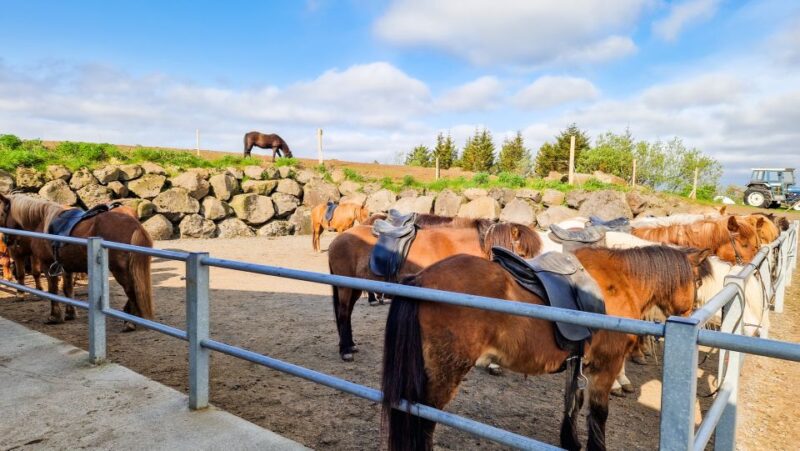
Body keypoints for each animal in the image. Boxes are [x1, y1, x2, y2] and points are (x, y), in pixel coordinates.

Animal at [0, 194, 154, 328]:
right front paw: (70, 313)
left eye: (1, 214)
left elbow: (53, 290)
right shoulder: (66, 267)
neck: (41, 221)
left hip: (120, 269)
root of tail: (135, 225)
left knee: (131, 290)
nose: (6, 241)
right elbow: (67, 289)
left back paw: (130, 321)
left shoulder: (47, 264)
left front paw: (55, 316)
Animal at [328, 219, 542, 361]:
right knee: (344, 313)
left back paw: (349, 345)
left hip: (355, 286)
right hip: (345, 287)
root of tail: (337, 239)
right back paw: (345, 350)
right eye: (521, 254)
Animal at [381, 245, 710, 451]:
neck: (622, 282)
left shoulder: (578, 360)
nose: (692, 312)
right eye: (697, 281)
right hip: (445, 373)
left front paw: (571, 442)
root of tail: (420, 278)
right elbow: (598, 412)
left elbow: (573, 403)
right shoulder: (607, 365)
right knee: (424, 420)